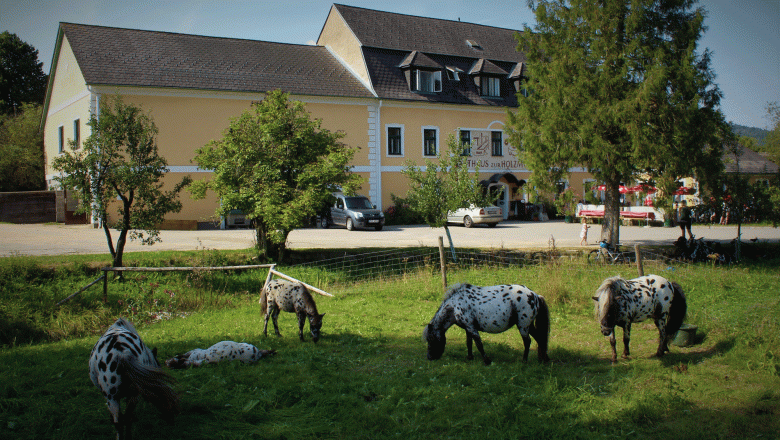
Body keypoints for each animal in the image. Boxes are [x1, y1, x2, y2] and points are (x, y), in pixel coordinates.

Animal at [424, 284, 552, 366]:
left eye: (431, 339)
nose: (429, 357)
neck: (455, 306)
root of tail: (535, 295)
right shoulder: (468, 328)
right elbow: (469, 343)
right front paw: (469, 357)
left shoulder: (472, 328)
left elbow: (479, 344)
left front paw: (487, 361)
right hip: (529, 326)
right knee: (540, 338)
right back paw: (545, 359)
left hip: (523, 326)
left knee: (527, 341)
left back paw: (524, 361)